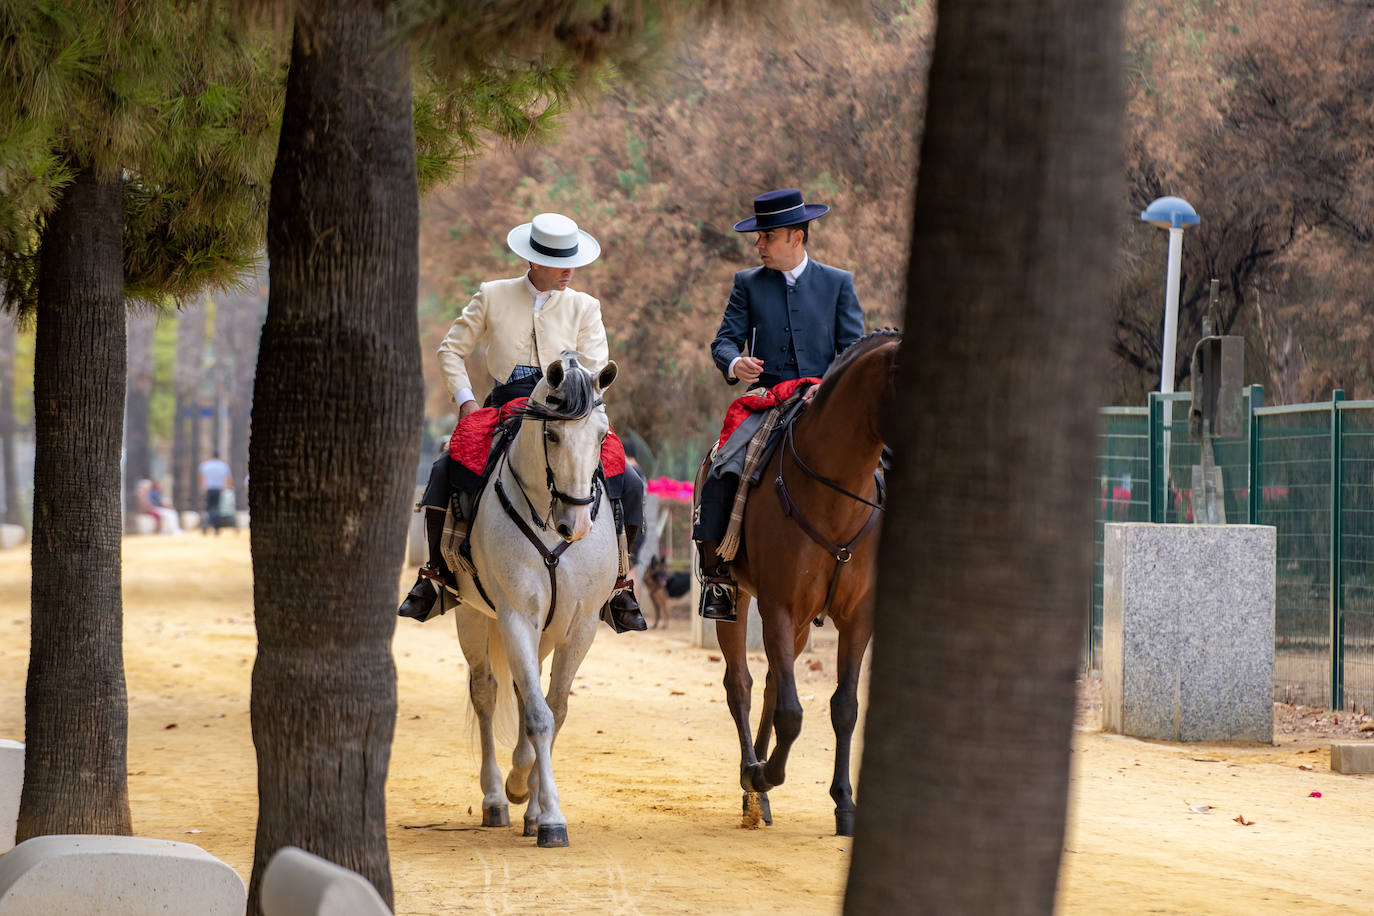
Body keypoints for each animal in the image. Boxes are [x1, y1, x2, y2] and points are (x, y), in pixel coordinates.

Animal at [447, 348, 621, 845]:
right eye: (553, 433)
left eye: (601, 435)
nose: (575, 525)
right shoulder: (516, 617)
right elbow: (539, 716)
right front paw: (550, 816)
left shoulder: (579, 627)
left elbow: (553, 710)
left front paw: (536, 801)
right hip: (472, 617)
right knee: (485, 693)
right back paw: (495, 798)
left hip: (544, 633)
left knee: (526, 695)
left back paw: (524, 801)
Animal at [714, 329, 895, 840]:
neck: (836, 494)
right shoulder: (777, 606)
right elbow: (792, 714)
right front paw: (760, 775)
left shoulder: (857, 618)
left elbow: (844, 707)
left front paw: (845, 804)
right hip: (734, 601)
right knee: (742, 685)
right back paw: (752, 778)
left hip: (796, 627)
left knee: (773, 683)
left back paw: (759, 796)